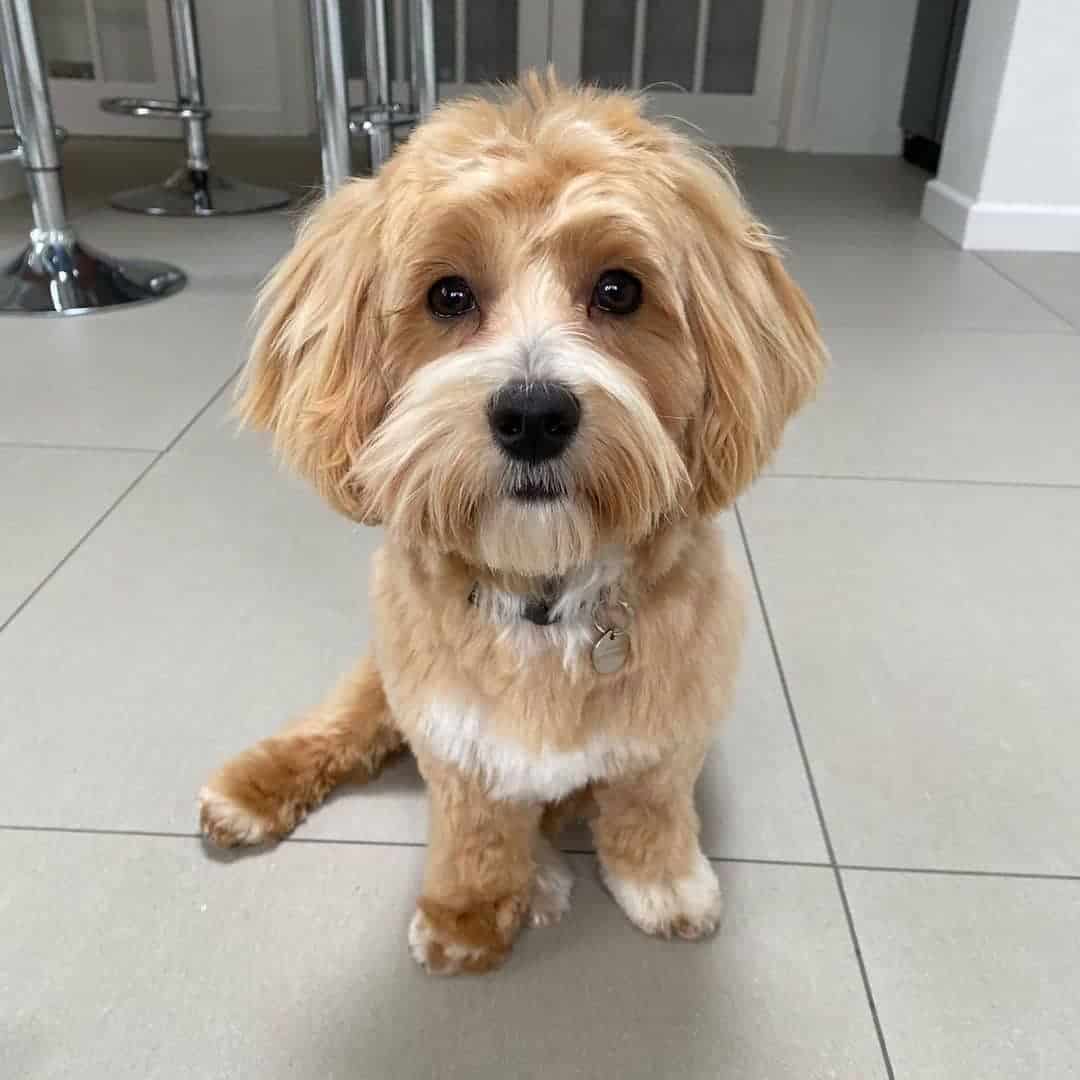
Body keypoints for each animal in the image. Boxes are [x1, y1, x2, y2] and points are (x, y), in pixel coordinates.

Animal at [198, 71, 820, 976]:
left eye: (619, 289)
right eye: (449, 295)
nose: (533, 415)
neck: (545, 594)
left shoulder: (669, 728)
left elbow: (650, 808)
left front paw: (663, 882)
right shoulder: (457, 740)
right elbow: (478, 834)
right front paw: (469, 913)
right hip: (386, 668)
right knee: (339, 725)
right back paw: (252, 789)